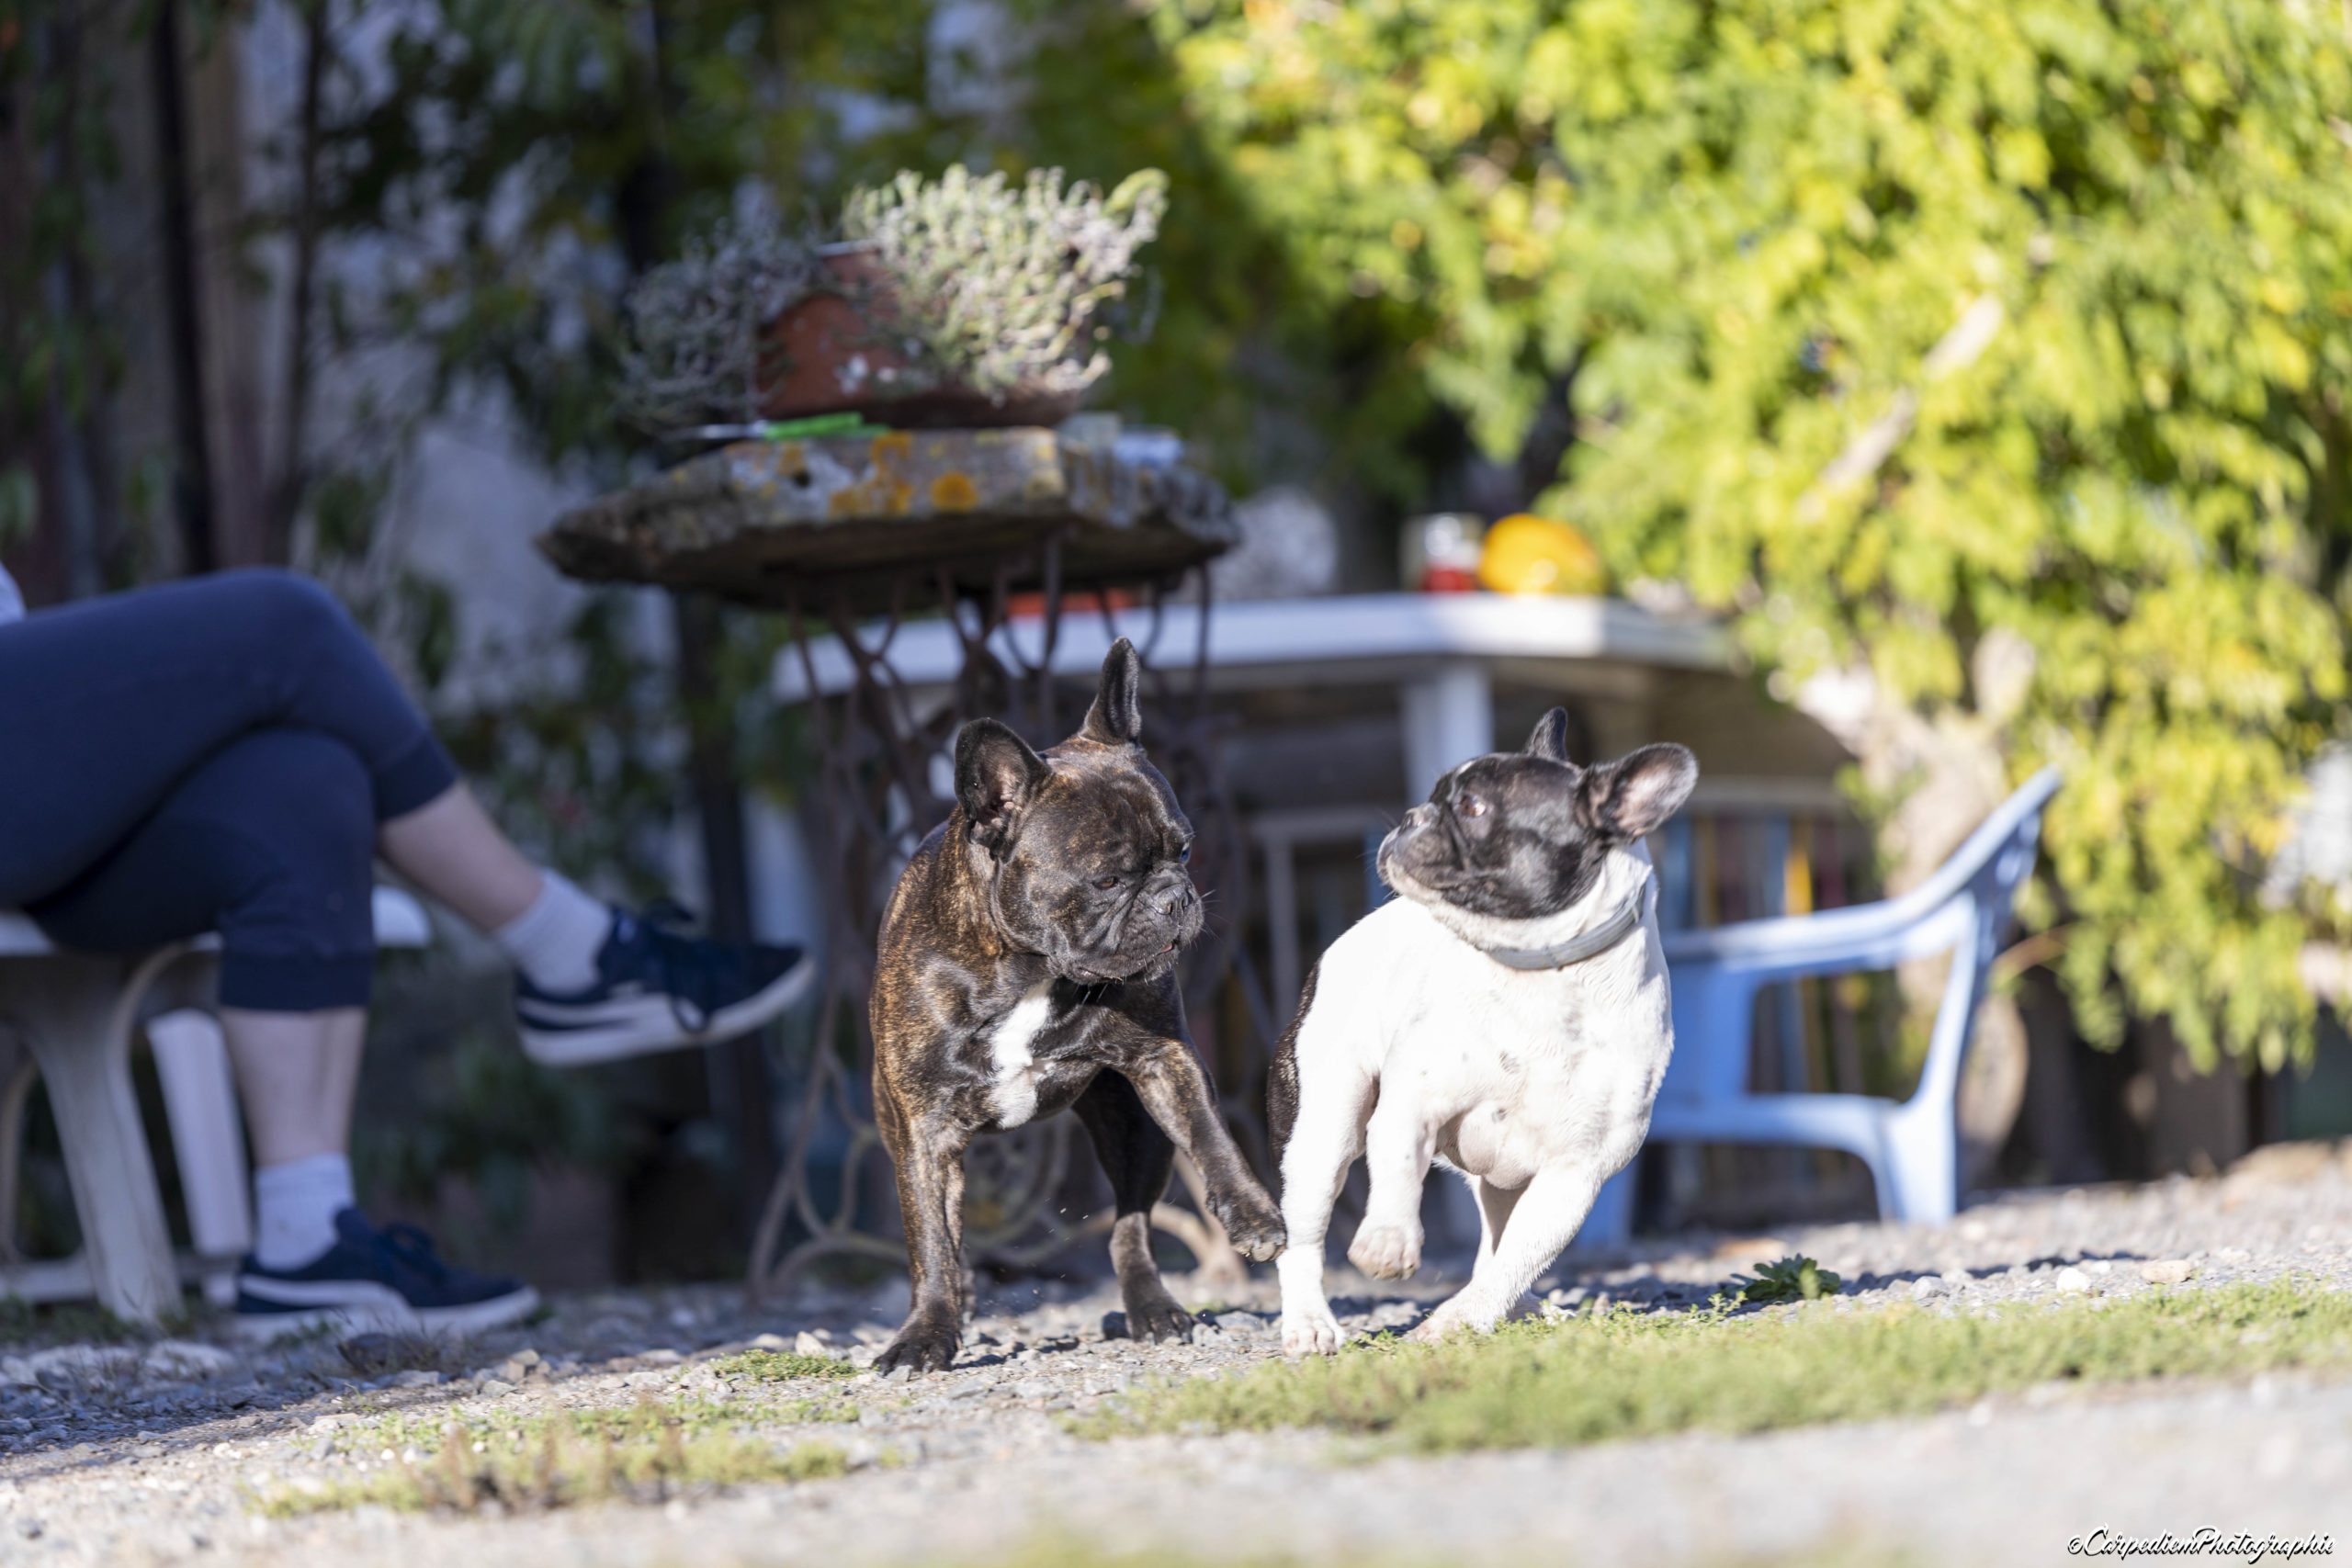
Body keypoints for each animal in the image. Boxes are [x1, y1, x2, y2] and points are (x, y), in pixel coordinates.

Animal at [869, 638, 1287, 1374]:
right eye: (1109, 879)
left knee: (1130, 1225)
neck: (1028, 970)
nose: (1175, 896)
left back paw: (1153, 1308)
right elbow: (931, 1243)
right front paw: (925, 1335)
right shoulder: (925, 1131)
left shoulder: (1164, 1059)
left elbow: (1211, 1135)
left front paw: (1255, 1215)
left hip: (1134, 1130)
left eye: (1184, 849)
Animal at [1271, 711, 1696, 1354]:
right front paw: (1389, 1241)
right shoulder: (1412, 1105)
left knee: (1497, 1246)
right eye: (1436, 797)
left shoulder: (1575, 1173)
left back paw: (1520, 1310)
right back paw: (1309, 1323)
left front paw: (1461, 1320)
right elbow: (1399, 1165)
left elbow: (1520, 1256)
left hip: (1502, 1180)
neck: (1543, 971)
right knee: (1303, 1235)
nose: (1410, 816)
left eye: (1472, 807)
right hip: (1323, 1128)